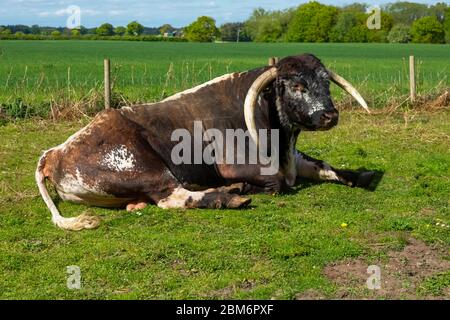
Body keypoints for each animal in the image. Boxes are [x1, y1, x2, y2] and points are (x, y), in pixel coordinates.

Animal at [37, 54, 378, 230]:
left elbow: (325, 165)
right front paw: (246, 187)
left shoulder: (294, 156)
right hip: (145, 169)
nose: (330, 115)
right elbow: (276, 183)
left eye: (325, 83)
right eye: (296, 86)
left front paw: (361, 175)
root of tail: (54, 152)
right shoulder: (237, 165)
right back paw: (231, 196)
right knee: (173, 197)